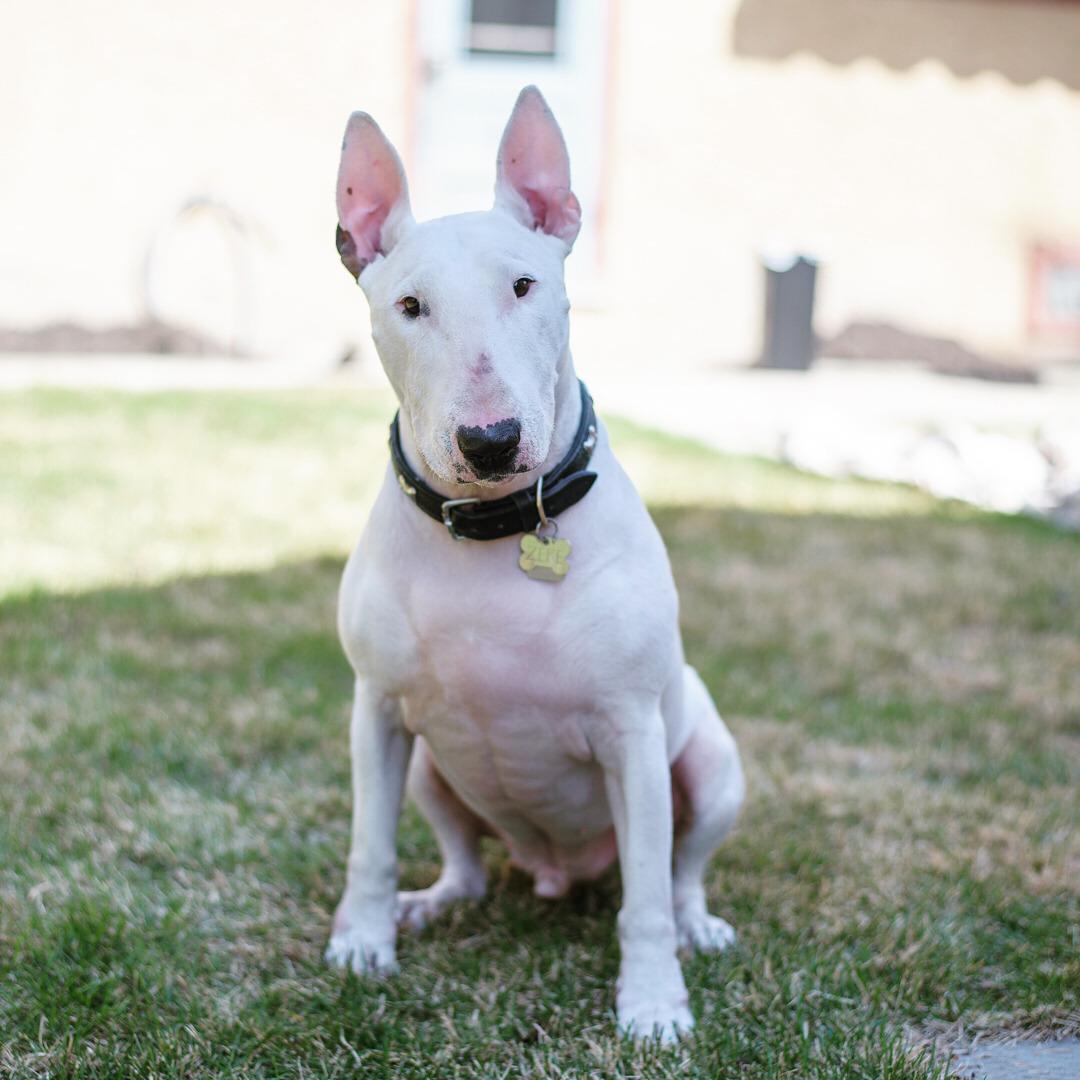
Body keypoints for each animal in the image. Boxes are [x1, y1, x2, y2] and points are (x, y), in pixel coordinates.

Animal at [321, 84, 743, 1036]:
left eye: (524, 285)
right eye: (410, 306)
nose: (490, 442)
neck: (495, 526)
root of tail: (556, 867)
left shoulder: (632, 731)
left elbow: (646, 898)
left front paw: (652, 1004)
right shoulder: (378, 712)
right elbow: (367, 844)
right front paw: (361, 941)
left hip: (710, 767)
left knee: (678, 873)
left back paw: (697, 928)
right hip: (433, 773)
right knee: (468, 864)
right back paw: (430, 901)